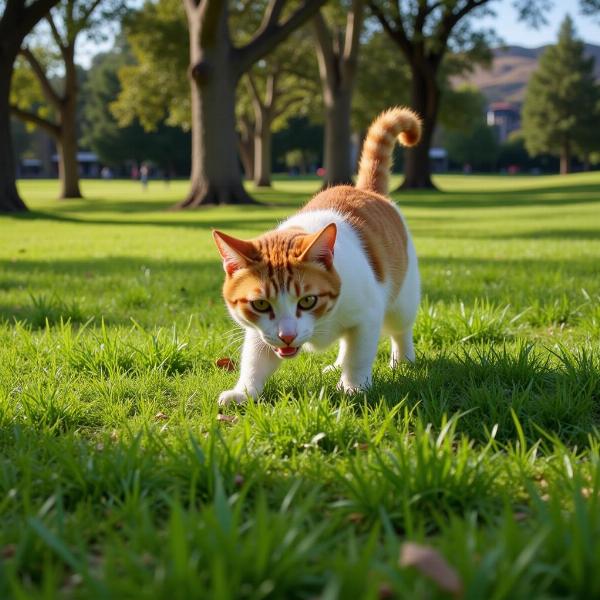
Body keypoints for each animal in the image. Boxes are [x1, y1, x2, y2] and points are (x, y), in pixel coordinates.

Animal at [213, 108, 420, 408]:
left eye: (308, 300)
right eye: (261, 304)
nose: (287, 336)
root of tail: (367, 190)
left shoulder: (367, 315)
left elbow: (359, 356)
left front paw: (353, 388)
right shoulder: (261, 331)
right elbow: (254, 360)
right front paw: (244, 392)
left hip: (403, 298)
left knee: (400, 329)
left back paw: (403, 360)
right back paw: (336, 365)